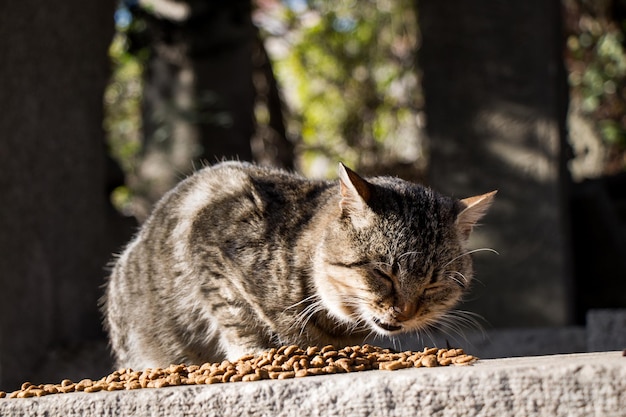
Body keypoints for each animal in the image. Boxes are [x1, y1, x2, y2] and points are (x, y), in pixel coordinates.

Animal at [101, 161, 492, 368]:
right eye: (383, 273)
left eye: (433, 284)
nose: (404, 313)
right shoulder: (210, 242)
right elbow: (236, 317)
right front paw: (253, 355)